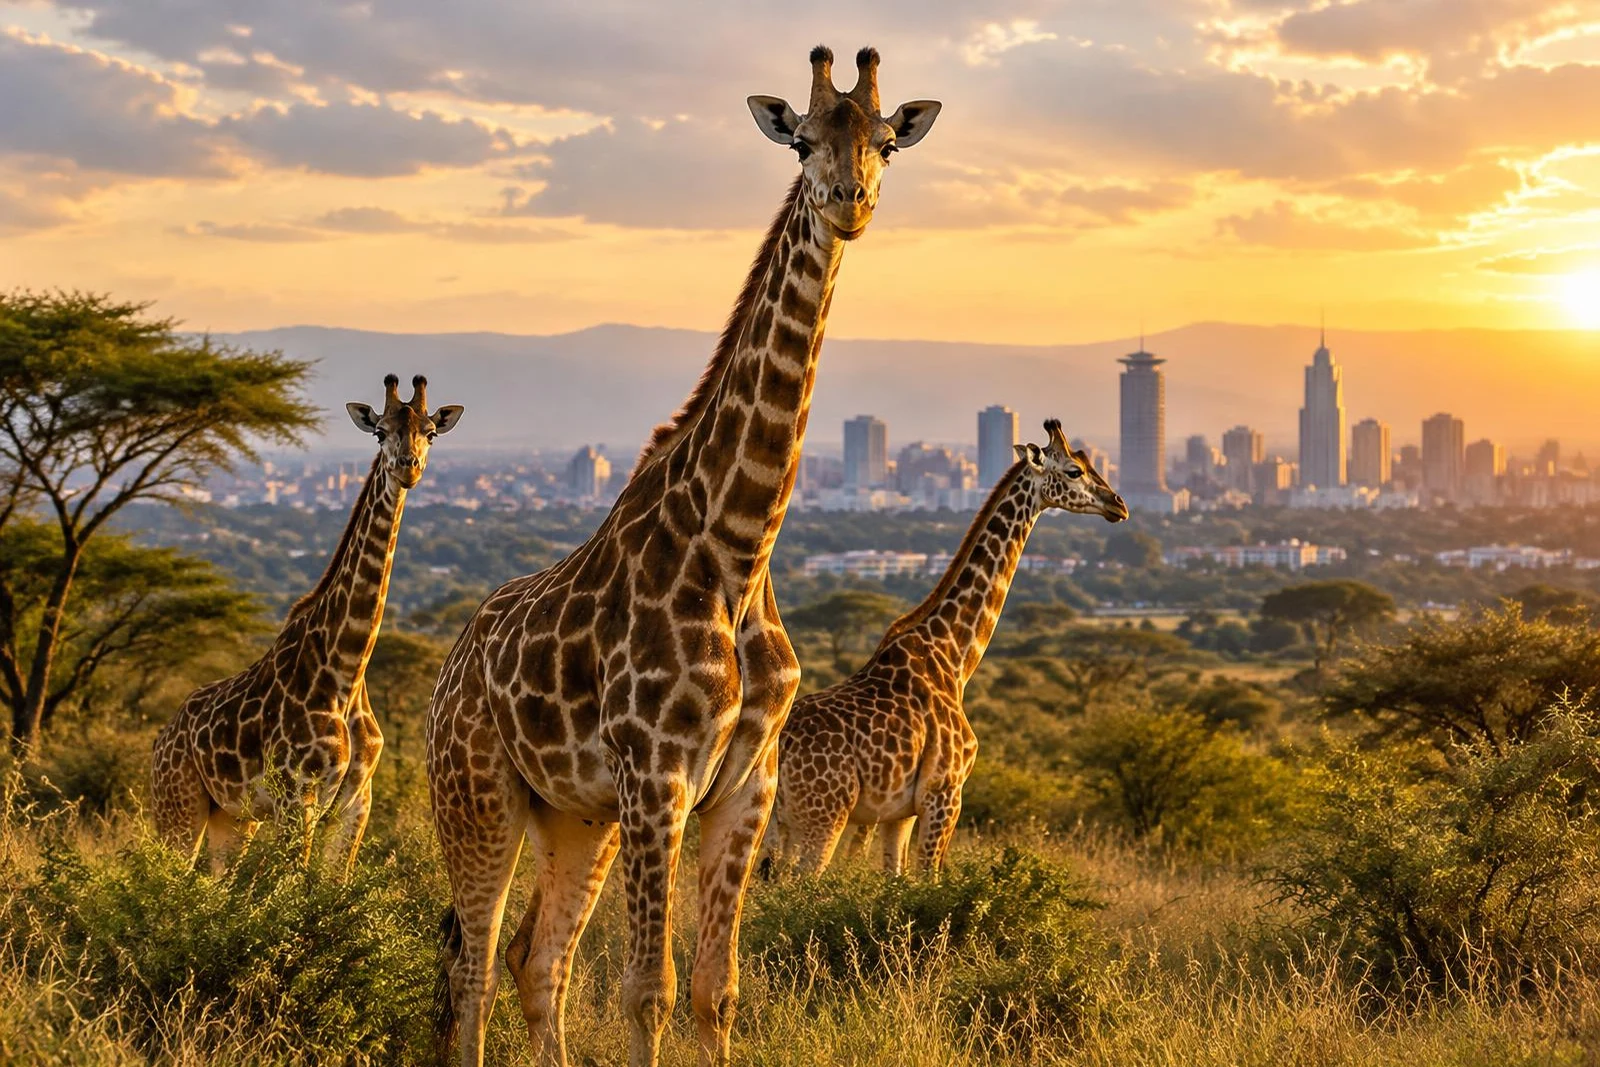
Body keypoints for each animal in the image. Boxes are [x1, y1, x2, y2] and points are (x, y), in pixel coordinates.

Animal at [151, 374, 463, 875]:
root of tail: (160, 740)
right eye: (380, 432)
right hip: (177, 805)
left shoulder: (358, 801)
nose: (408, 468)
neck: (347, 667)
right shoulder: (297, 796)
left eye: (430, 433)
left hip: (233, 818)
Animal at [425, 46, 940, 1067]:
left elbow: (716, 990)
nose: (850, 201)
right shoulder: (657, 774)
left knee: (536, 963)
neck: (737, 546)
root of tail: (445, 674)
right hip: (478, 798)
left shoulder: (745, 786)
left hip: (574, 816)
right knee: (475, 966)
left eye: (889, 143)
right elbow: (649, 990)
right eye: (803, 141)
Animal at [766, 421, 1126, 877]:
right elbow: (930, 877)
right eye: (1074, 470)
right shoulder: (945, 793)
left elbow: (896, 878)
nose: (1119, 505)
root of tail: (777, 749)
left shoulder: (899, 812)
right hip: (823, 817)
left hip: (771, 820)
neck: (954, 656)